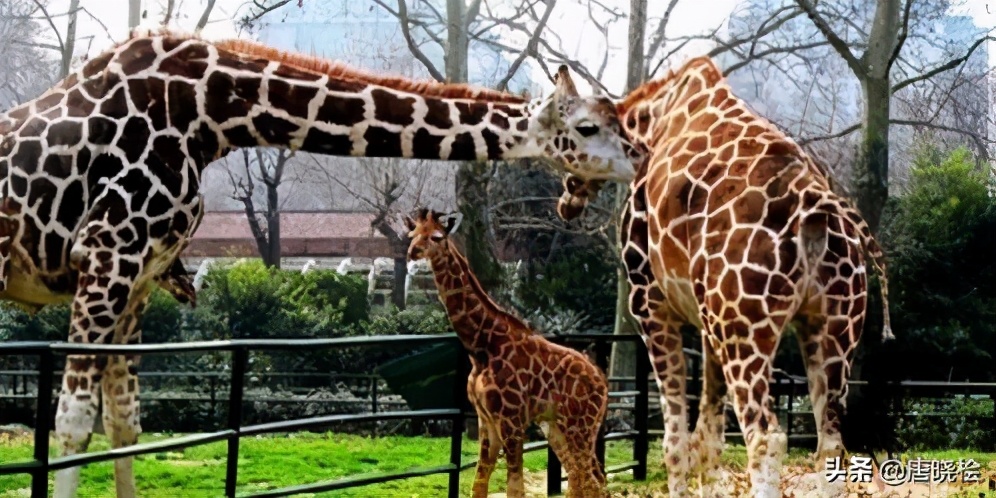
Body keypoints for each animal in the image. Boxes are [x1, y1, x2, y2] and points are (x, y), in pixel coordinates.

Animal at [402, 209, 608, 498]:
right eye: (412, 234)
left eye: (437, 236)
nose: (413, 252)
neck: (481, 347)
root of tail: (603, 383)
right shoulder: (485, 420)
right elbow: (479, 483)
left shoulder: (511, 419)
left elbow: (515, 486)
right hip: (557, 427)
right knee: (584, 478)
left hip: (580, 425)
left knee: (592, 481)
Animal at [528, 63, 896, 498]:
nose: (565, 202)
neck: (651, 118)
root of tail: (817, 203)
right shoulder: (708, 323)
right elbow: (708, 438)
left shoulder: (649, 303)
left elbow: (675, 443)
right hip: (831, 326)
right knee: (830, 444)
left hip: (744, 327)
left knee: (767, 436)